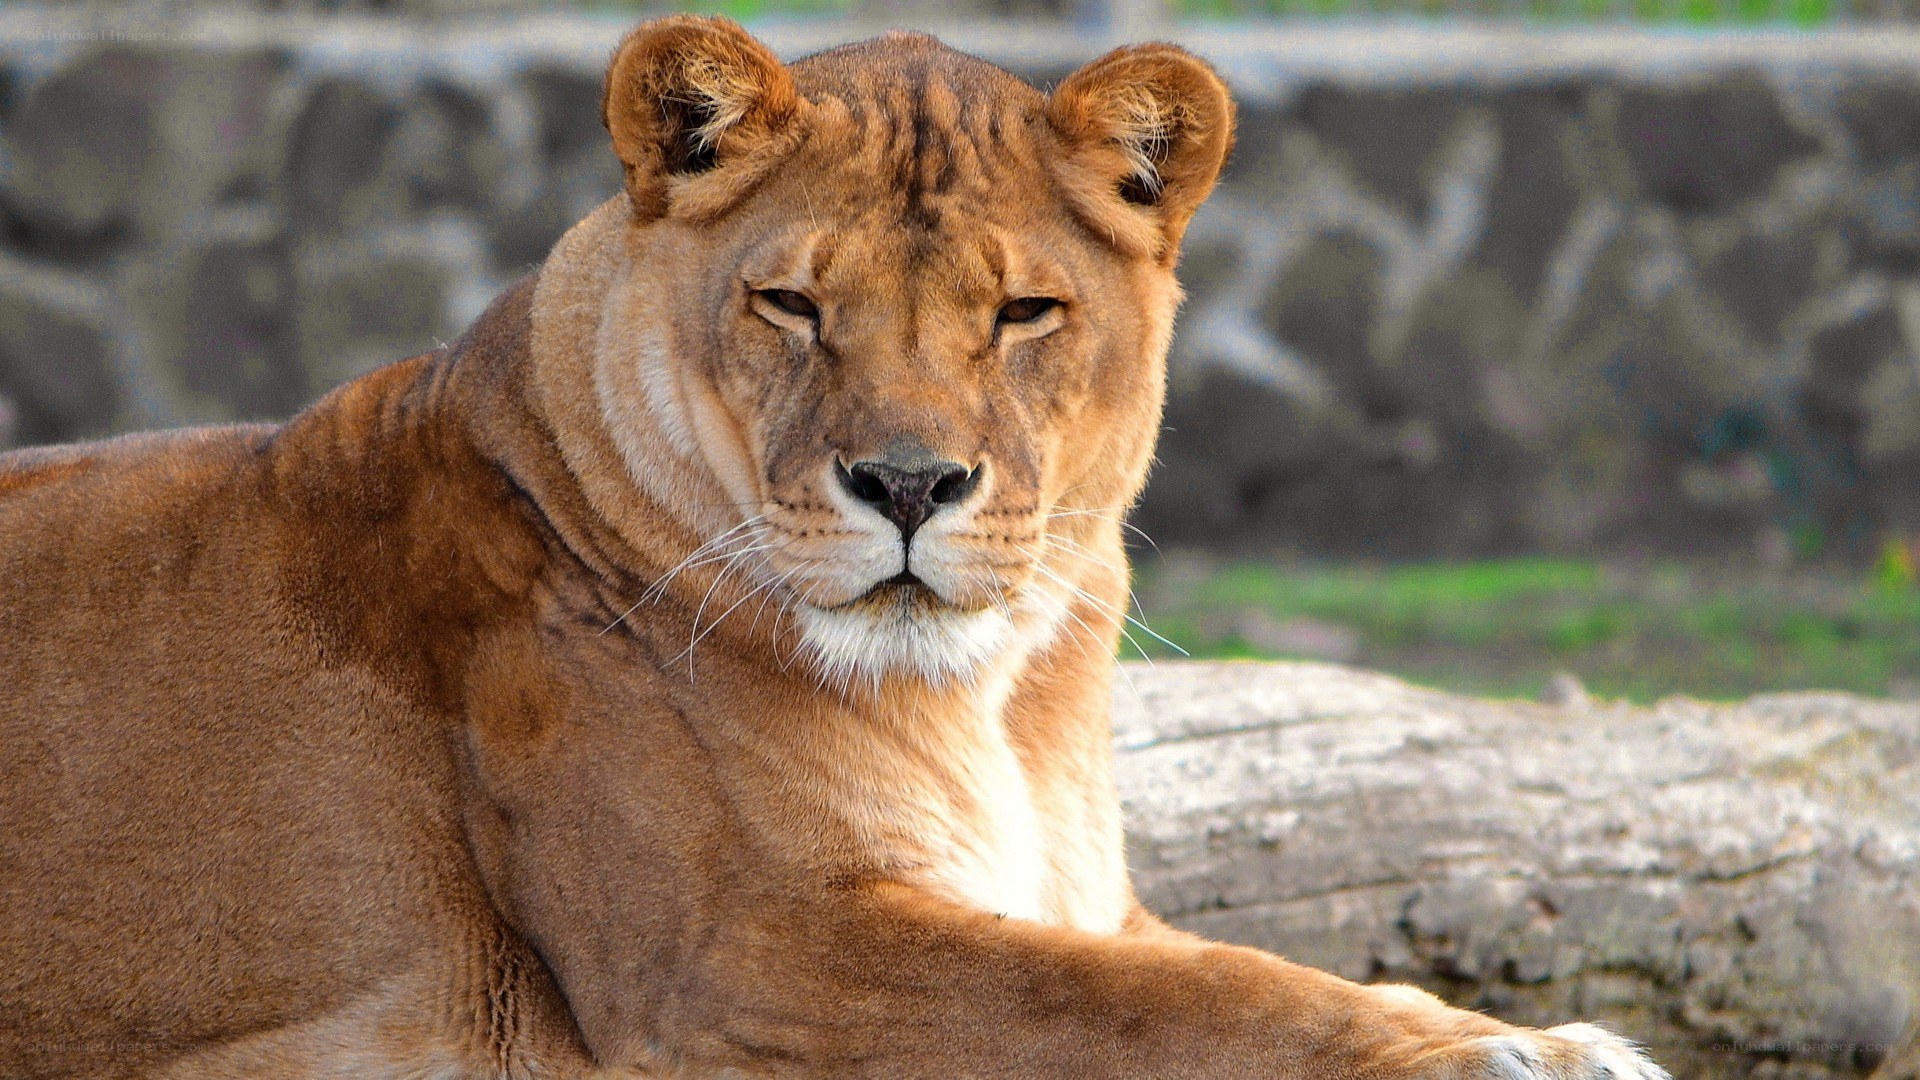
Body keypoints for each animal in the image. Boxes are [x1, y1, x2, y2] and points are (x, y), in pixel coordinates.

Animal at [0, 17, 1670, 1079]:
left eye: (1024, 311)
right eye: (794, 305)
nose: (910, 484)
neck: (994, 696)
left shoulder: (1070, 900)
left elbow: (1224, 969)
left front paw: (1513, 1029)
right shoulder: (745, 955)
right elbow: (1165, 1007)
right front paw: (1513, 1054)